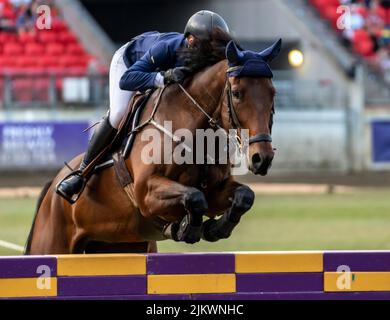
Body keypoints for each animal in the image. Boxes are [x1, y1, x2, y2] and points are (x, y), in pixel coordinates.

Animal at [24, 37, 280, 254]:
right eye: (236, 93)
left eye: (273, 93)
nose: (262, 158)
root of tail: (52, 186)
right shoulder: (146, 192)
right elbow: (195, 197)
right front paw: (186, 228)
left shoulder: (215, 189)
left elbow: (244, 196)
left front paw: (216, 229)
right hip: (52, 245)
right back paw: (72, 183)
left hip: (119, 245)